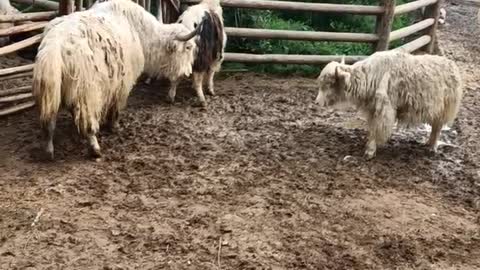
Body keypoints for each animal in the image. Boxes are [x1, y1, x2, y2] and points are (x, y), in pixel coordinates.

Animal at [33, 0, 202, 159]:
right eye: (188, 47)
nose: (187, 73)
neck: (140, 32)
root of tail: (55, 45)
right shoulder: (123, 83)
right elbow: (116, 106)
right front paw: (114, 125)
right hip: (86, 92)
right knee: (88, 122)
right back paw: (95, 148)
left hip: (50, 92)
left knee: (49, 122)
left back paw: (48, 151)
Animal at [316, 51, 464, 158]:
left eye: (329, 83)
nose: (317, 102)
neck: (370, 76)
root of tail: (452, 65)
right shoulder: (373, 110)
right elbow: (372, 127)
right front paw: (368, 145)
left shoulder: (384, 110)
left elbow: (377, 129)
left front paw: (370, 151)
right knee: (434, 128)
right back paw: (428, 143)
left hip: (443, 110)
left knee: (437, 128)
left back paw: (432, 148)